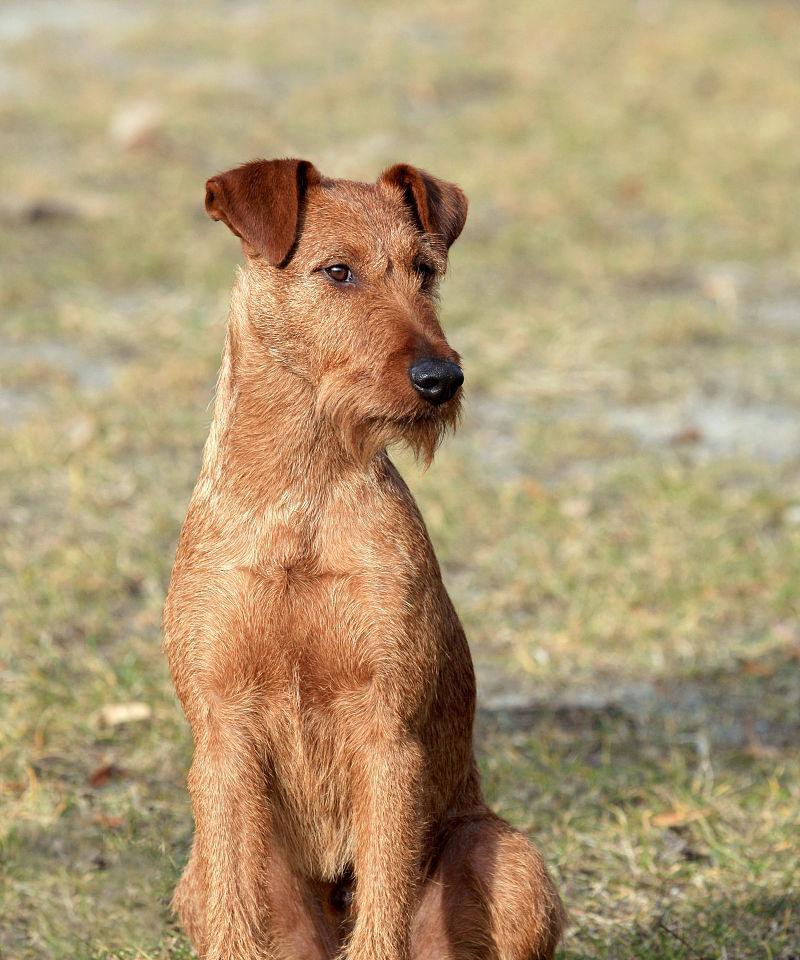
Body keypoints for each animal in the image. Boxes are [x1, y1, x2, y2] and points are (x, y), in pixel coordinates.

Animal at [162, 159, 564, 960]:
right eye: (337, 271)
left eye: (425, 271)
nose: (441, 378)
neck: (302, 499)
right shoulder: (223, 731)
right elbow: (235, 912)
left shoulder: (387, 732)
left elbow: (382, 908)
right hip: (198, 879)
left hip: (510, 861)